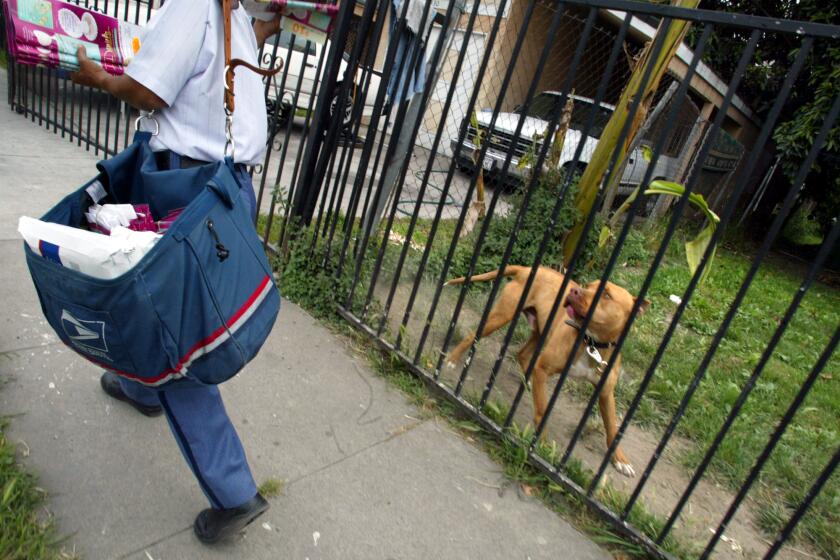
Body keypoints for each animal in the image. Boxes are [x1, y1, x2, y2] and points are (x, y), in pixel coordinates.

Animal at [446, 266, 648, 476]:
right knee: (474, 335)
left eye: (606, 295)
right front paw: (540, 445)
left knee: (523, 355)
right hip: (500, 317)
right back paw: (452, 359)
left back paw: (527, 381)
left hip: (539, 331)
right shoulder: (543, 369)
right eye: (588, 286)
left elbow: (612, 428)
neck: (592, 342)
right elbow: (542, 410)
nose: (574, 291)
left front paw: (620, 459)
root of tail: (527, 269)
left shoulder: (606, 393)